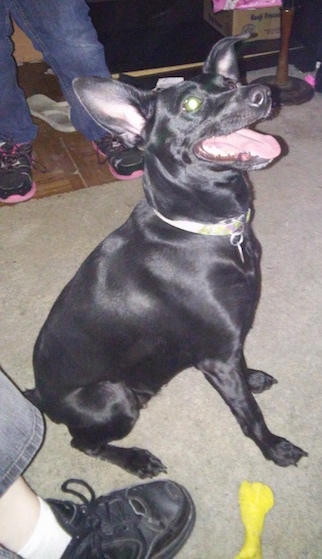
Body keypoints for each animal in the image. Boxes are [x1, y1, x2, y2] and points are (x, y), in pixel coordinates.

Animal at [27, 37, 306, 480]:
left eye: (229, 82)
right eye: (191, 104)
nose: (262, 93)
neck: (200, 230)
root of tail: (40, 396)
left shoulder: (228, 346)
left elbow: (243, 369)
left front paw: (253, 376)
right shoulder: (217, 357)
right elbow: (250, 415)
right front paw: (274, 448)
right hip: (112, 395)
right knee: (83, 443)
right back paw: (136, 459)